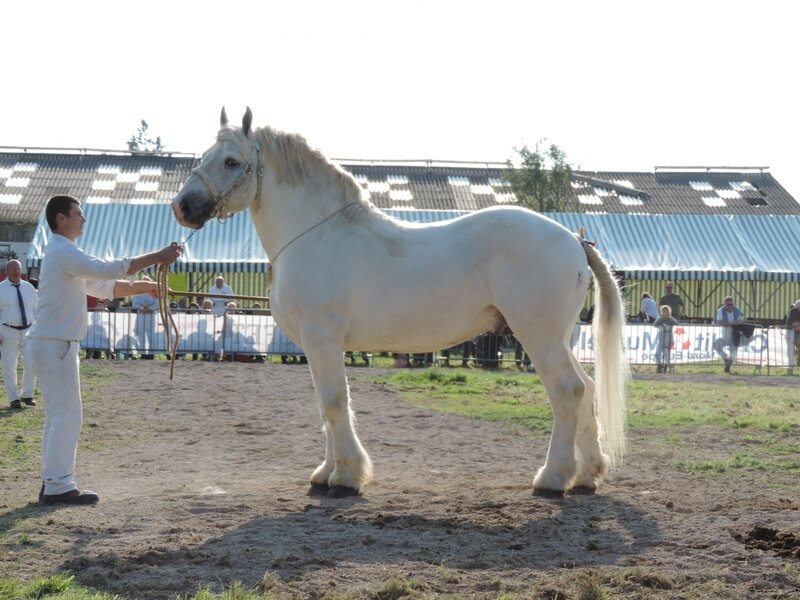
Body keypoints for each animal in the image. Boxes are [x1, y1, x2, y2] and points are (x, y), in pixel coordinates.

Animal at [172, 106, 628, 496]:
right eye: (206, 155)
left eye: (231, 161)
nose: (183, 206)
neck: (316, 234)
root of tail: (574, 240)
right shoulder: (316, 348)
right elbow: (324, 406)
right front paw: (326, 472)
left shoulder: (322, 340)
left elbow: (335, 402)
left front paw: (347, 477)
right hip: (559, 339)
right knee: (586, 389)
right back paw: (587, 474)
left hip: (539, 339)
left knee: (567, 391)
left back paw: (553, 477)